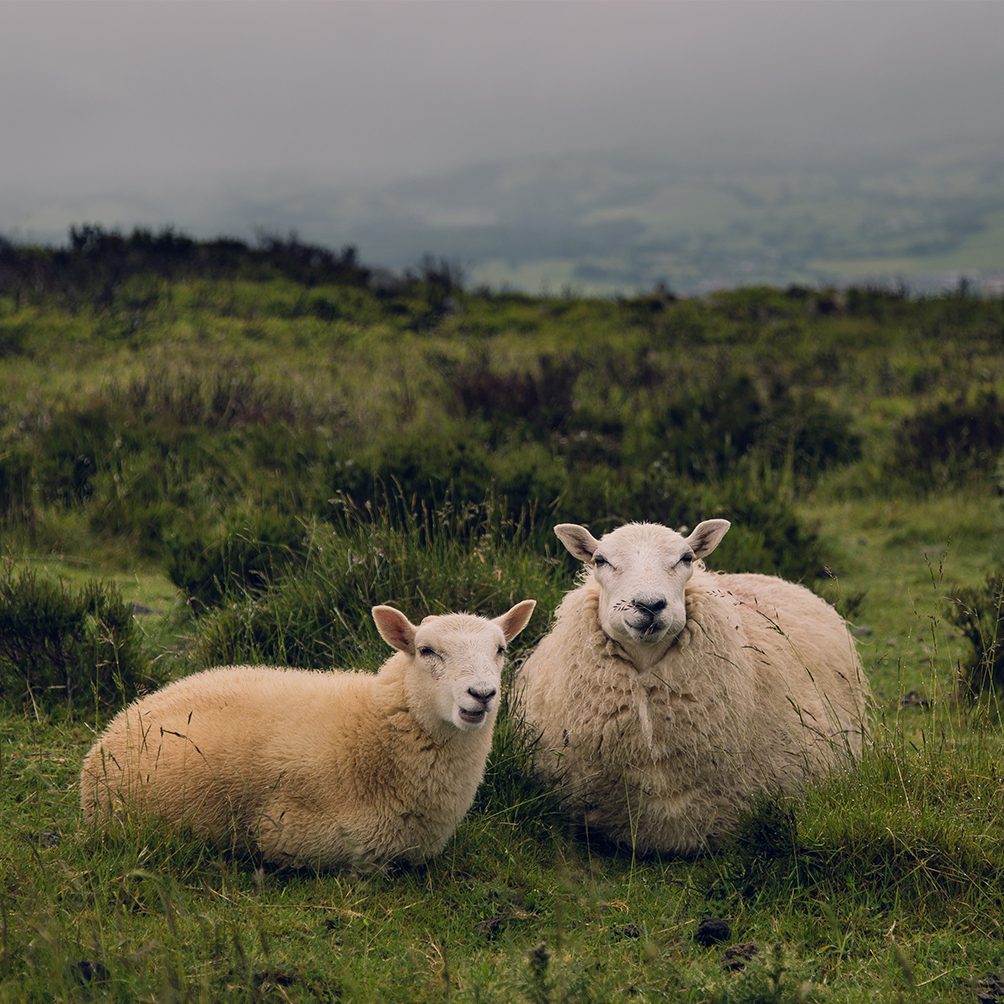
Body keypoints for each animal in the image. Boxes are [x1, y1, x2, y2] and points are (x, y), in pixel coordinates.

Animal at [80, 599, 536, 871]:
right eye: (426, 651)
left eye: (500, 650)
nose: (482, 694)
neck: (373, 730)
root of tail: (121, 720)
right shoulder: (297, 836)